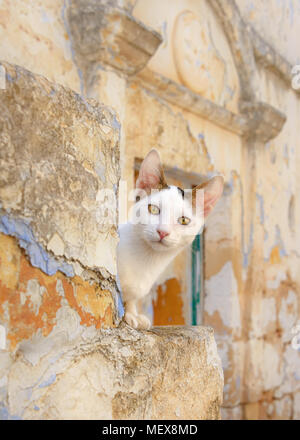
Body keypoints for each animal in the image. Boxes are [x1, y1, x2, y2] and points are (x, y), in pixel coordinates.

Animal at [116, 150, 223, 328]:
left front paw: (132, 312)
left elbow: (131, 297)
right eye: (153, 209)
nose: (163, 232)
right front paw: (128, 314)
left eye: (184, 220)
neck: (147, 261)